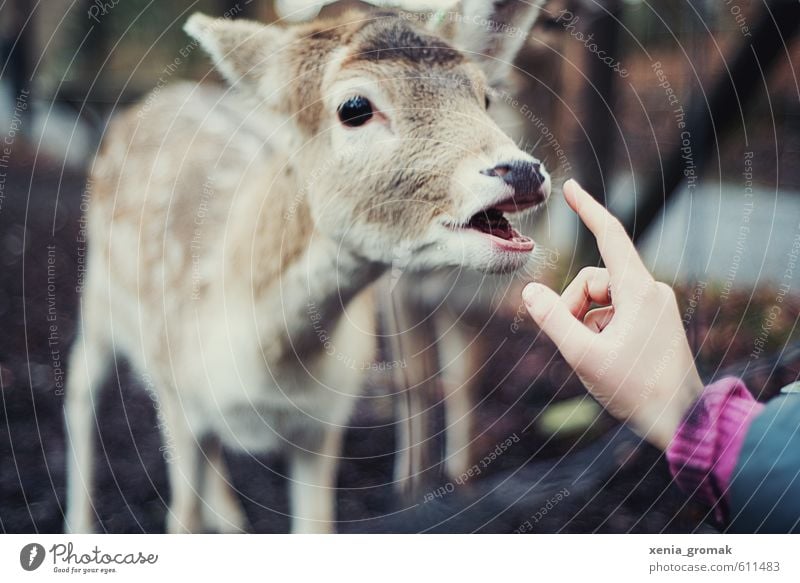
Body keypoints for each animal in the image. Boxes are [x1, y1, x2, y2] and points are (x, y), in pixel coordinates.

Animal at [64, 0, 552, 536]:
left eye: (485, 97)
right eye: (354, 107)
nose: (522, 171)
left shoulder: (325, 421)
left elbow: (315, 525)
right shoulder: (176, 393)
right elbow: (180, 520)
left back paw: (230, 518)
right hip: (97, 295)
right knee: (79, 386)